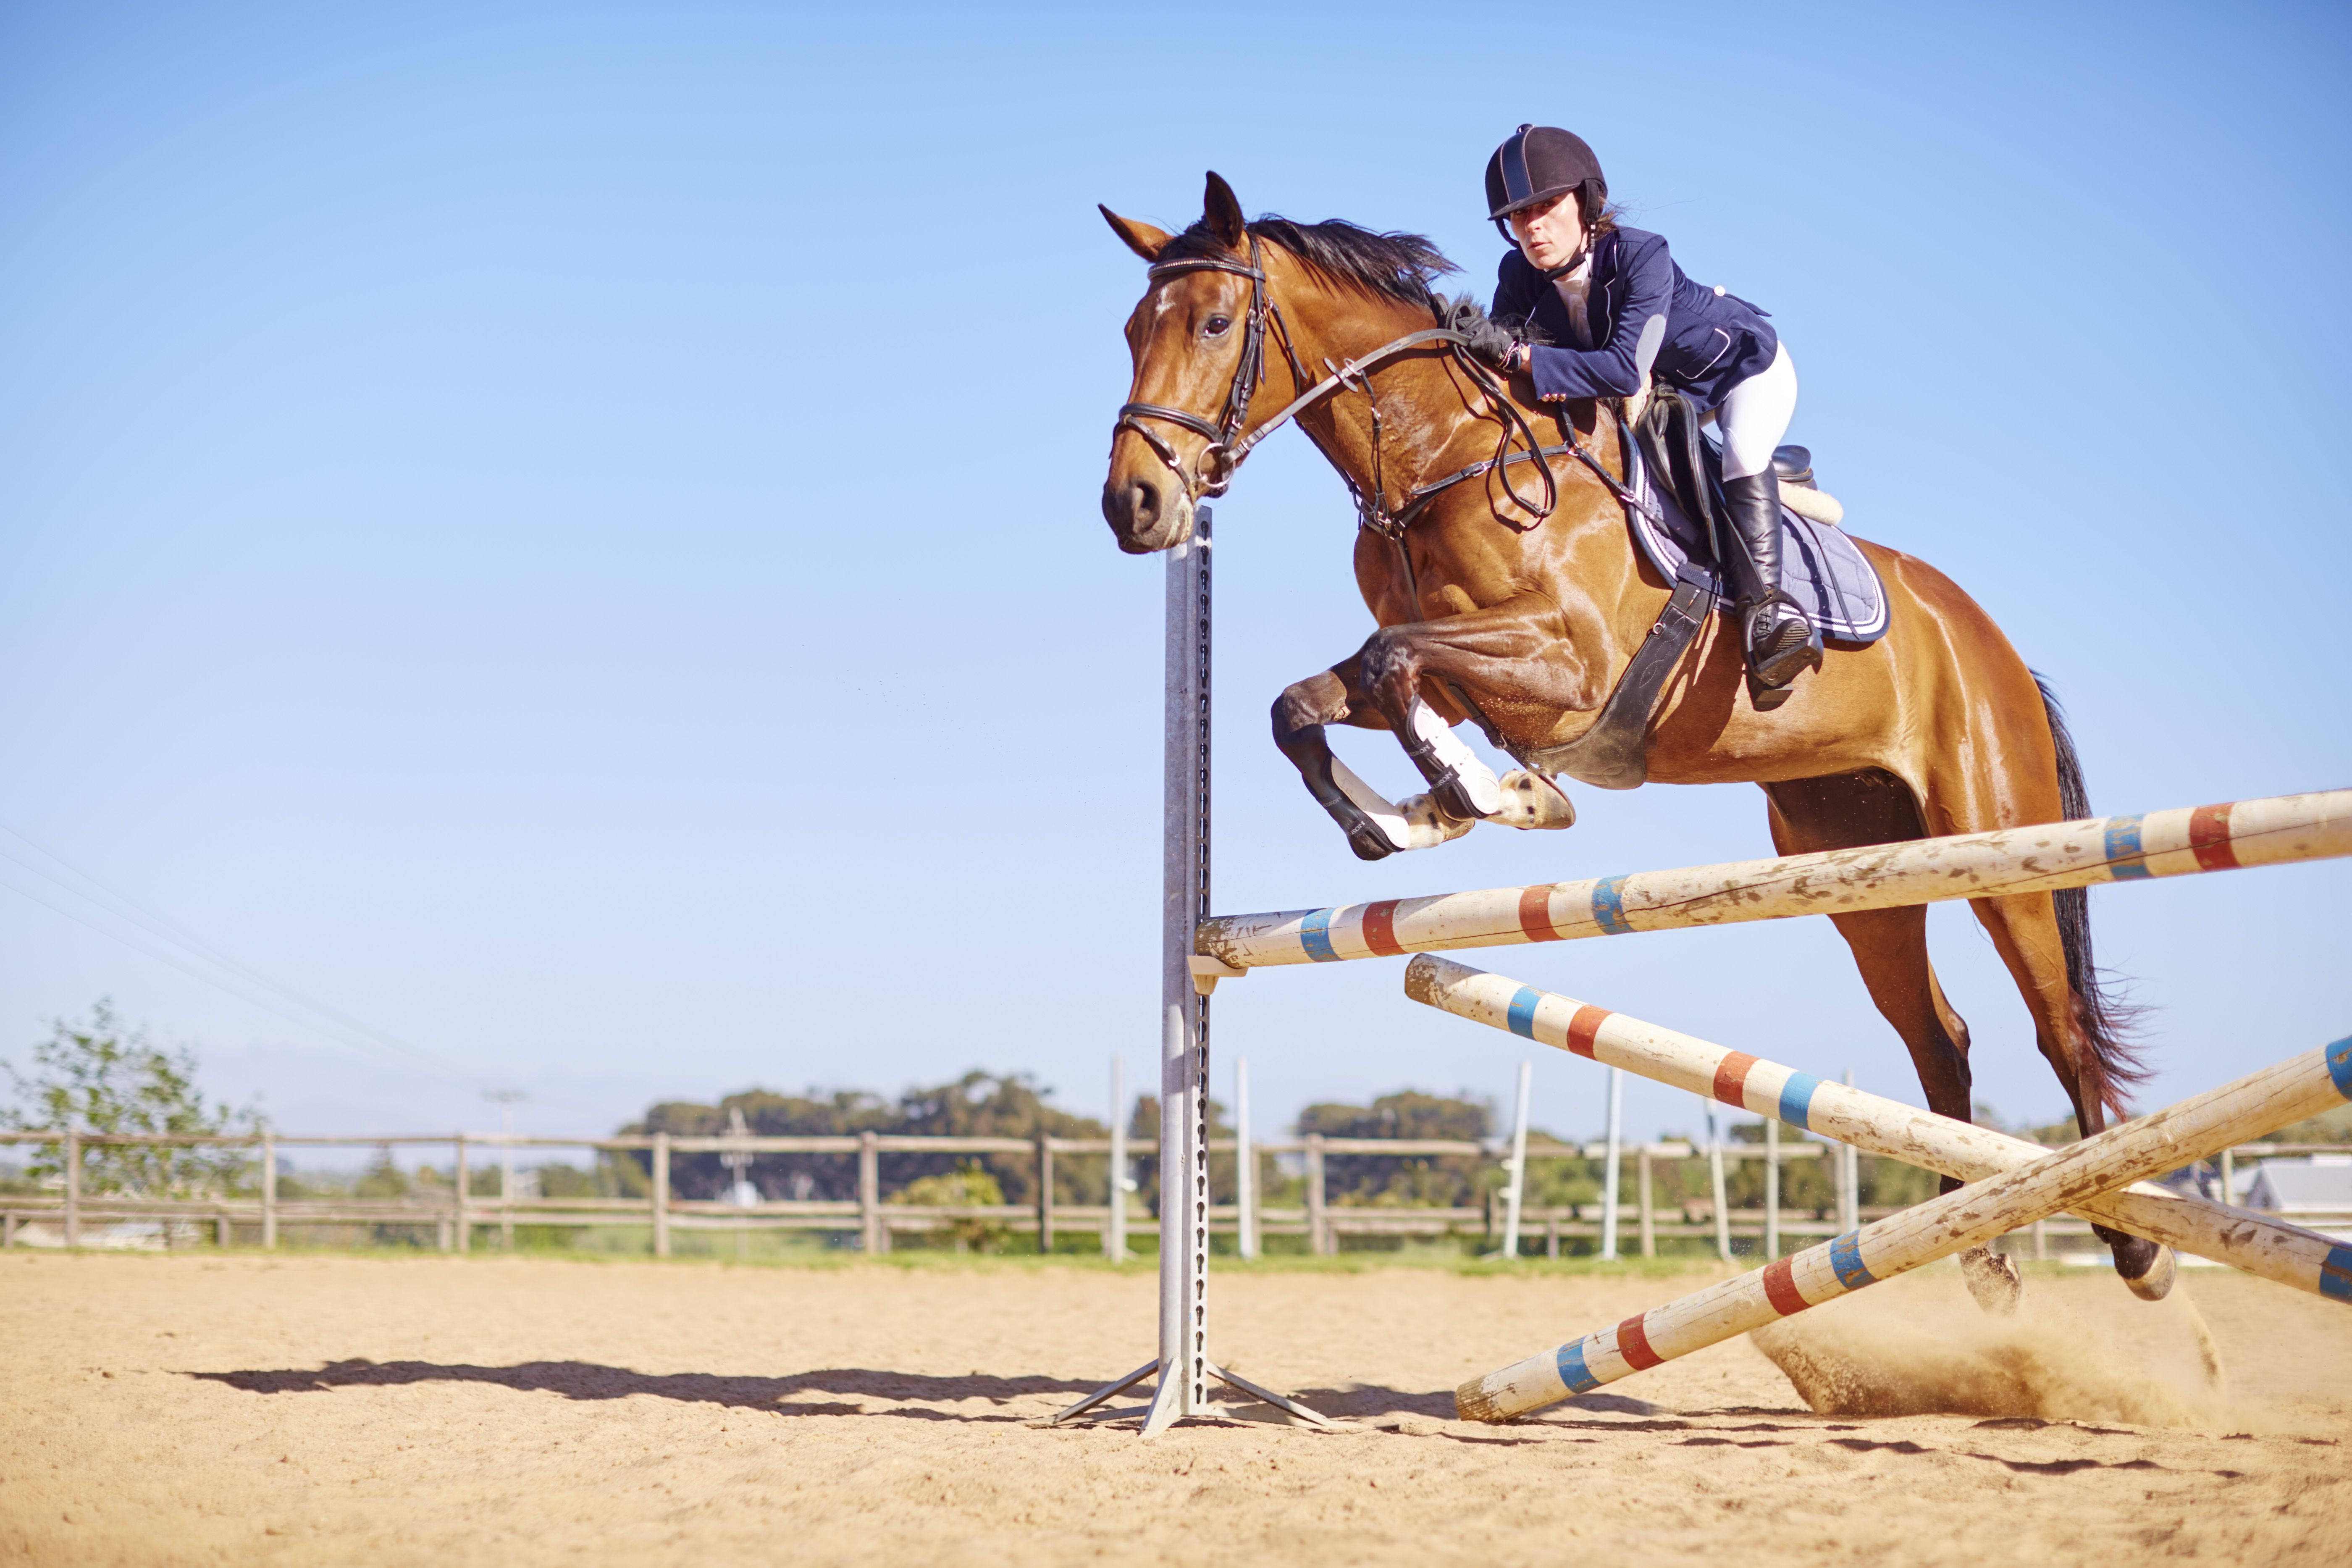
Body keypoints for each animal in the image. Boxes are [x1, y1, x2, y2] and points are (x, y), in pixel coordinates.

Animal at [1100, 171, 2164, 1307]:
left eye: (1215, 323)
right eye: (1131, 330)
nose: (1135, 505)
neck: (1446, 459)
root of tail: (1990, 640)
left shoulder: (1567, 669)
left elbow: (1393, 664)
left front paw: (1499, 798)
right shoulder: (1467, 679)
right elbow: (1311, 702)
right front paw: (1413, 818)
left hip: (1999, 839)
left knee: (2057, 1022)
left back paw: (2135, 1250)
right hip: (1854, 859)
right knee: (1940, 1037)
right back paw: (1981, 1255)